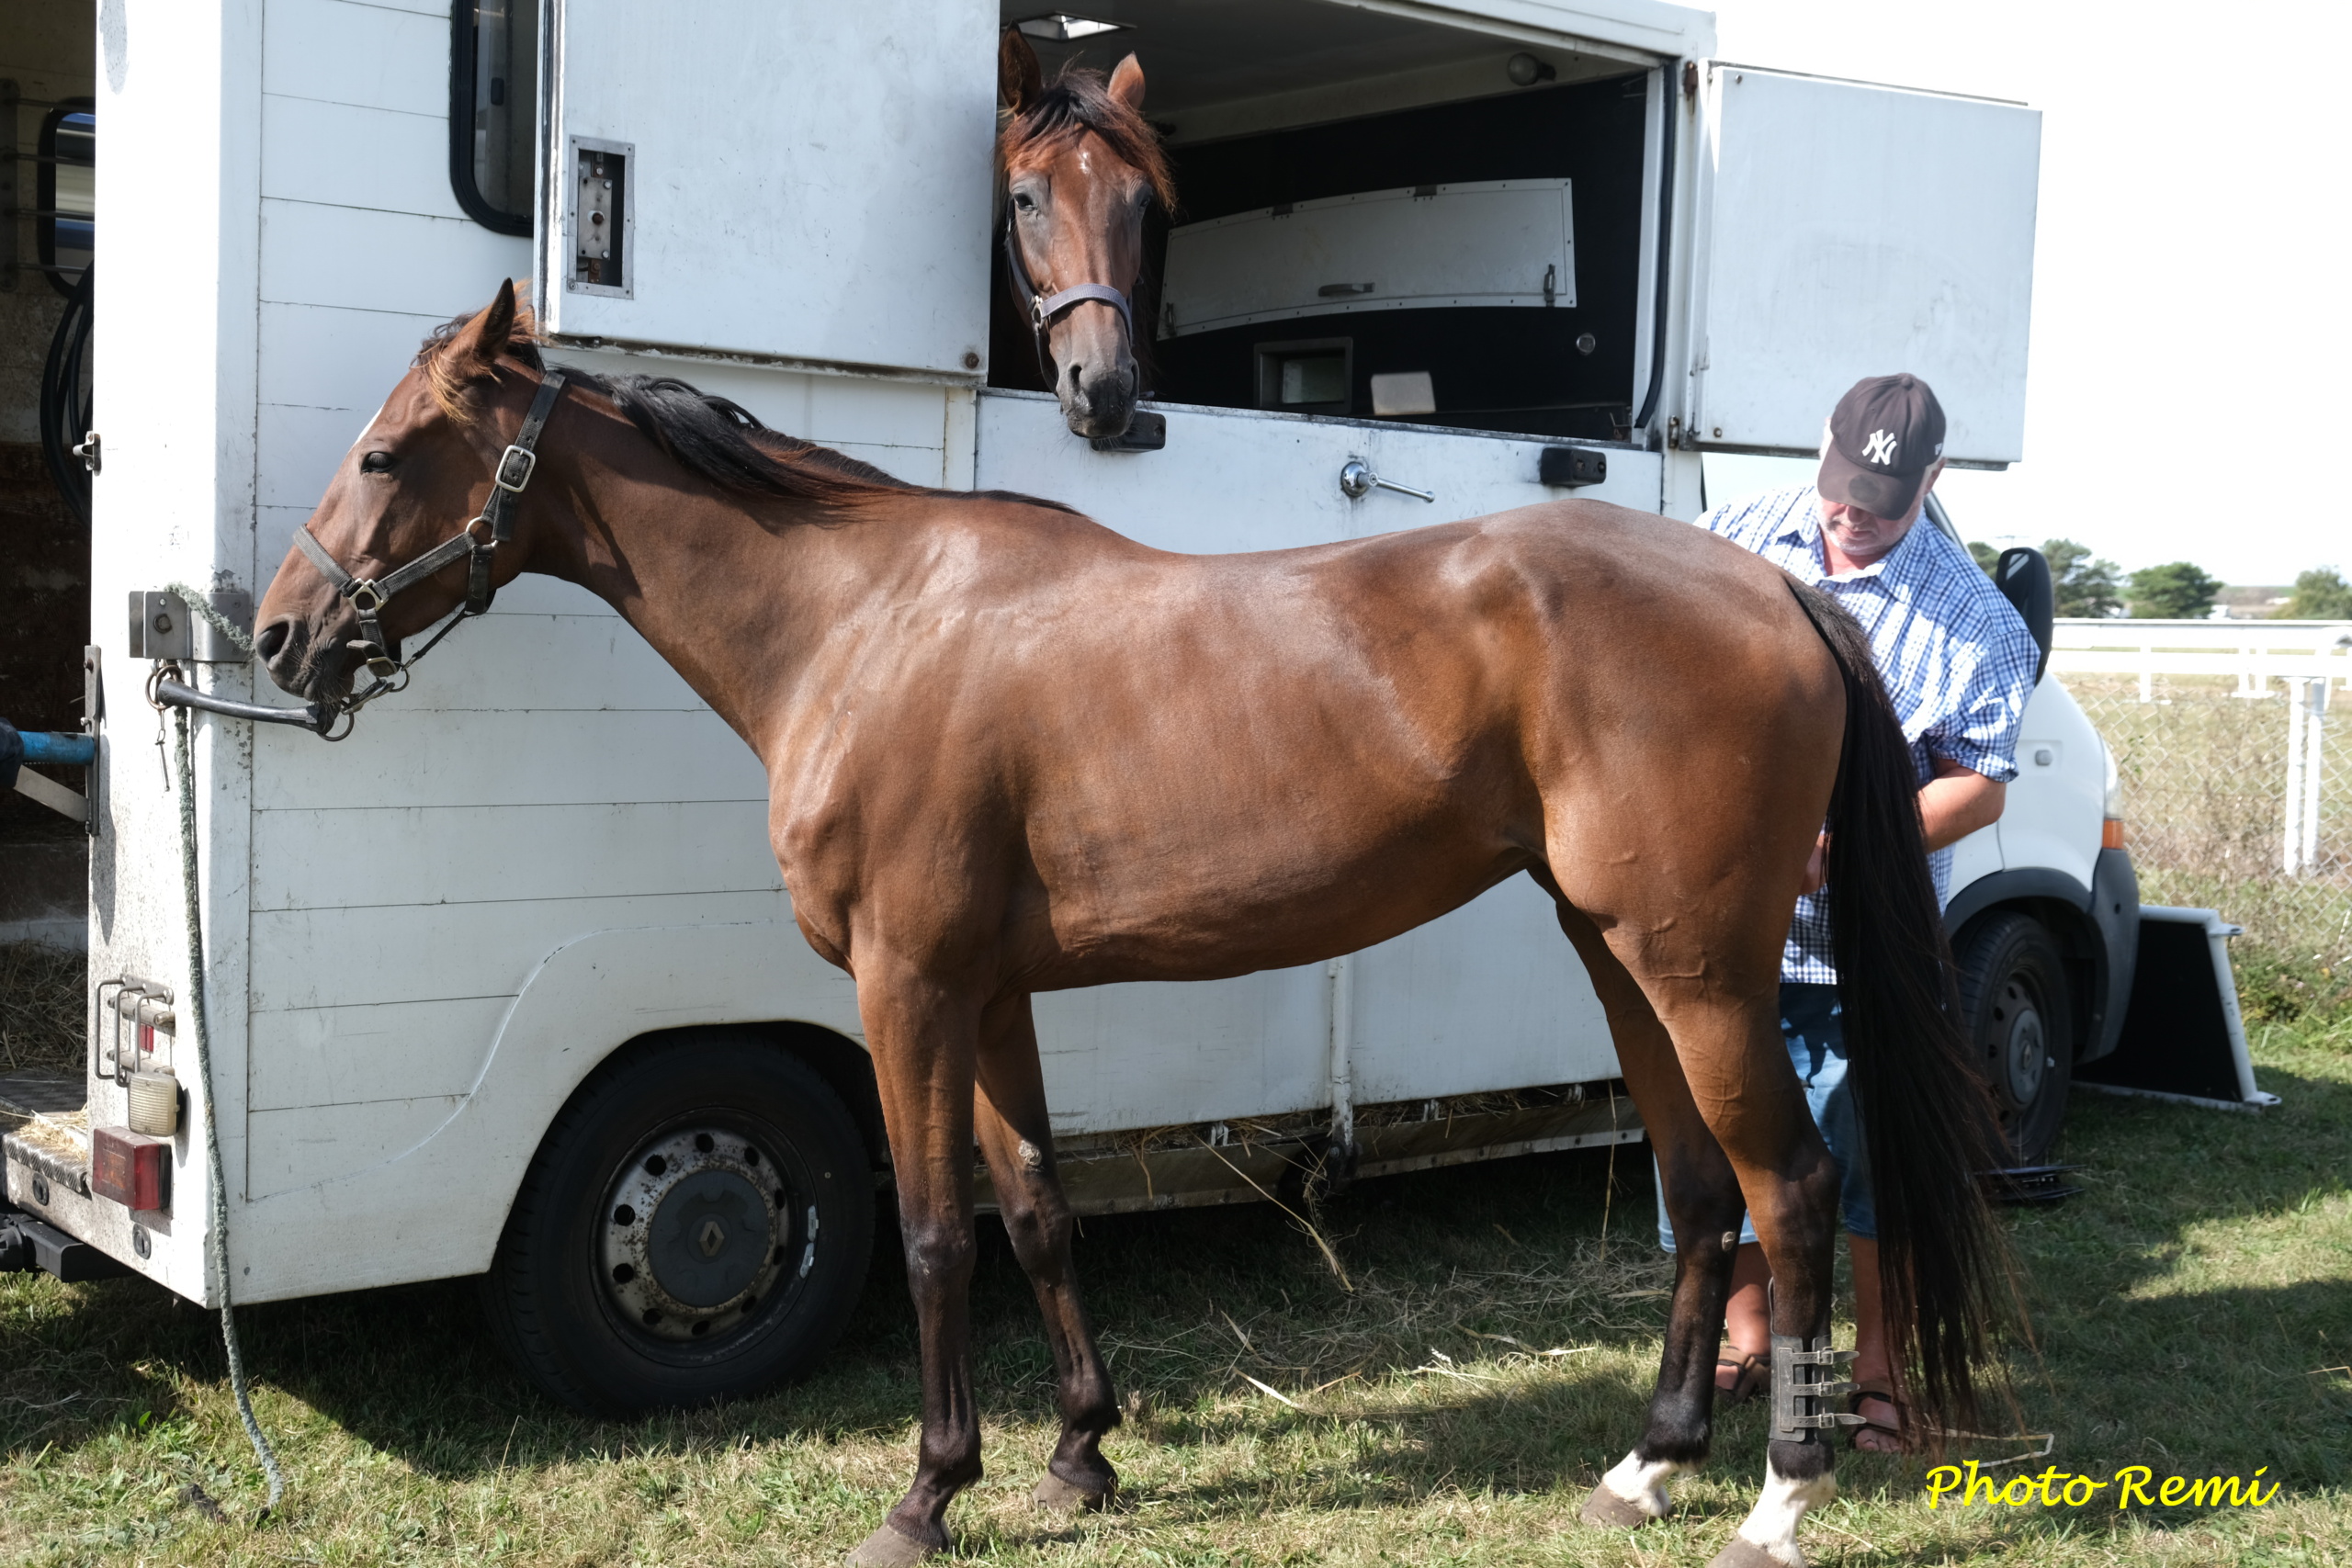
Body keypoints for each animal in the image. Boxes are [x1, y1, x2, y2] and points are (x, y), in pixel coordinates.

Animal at [253, 280, 2008, 1568]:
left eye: (393, 451)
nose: (281, 634)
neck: (861, 622)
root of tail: (1778, 589)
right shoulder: (992, 993)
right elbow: (1034, 1207)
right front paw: (1078, 1453)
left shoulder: (907, 987)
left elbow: (934, 1229)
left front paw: (925, 1492)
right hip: (1621, 954)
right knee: (1705, 1195)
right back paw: (1647, 1464)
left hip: (1697, 970)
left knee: (1794, 1190)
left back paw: (1776, 1499)